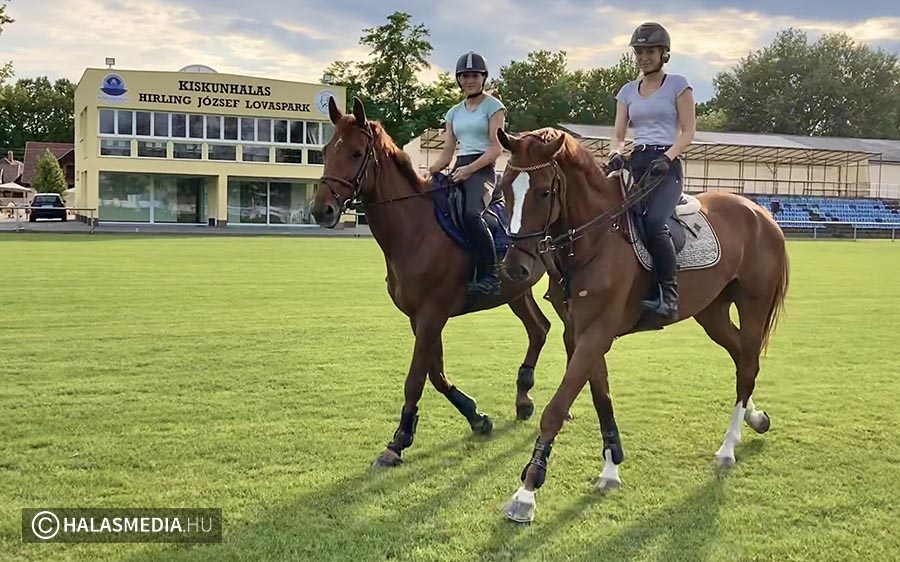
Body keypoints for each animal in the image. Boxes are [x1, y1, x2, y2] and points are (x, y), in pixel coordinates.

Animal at [306, 96, 568, 464]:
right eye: (327, 150)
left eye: (357, 153)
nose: (322, 210)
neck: (416, 228)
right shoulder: (420, 317)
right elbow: (435, 372)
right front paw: (476, 416)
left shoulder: (433, 313)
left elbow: (416, 377)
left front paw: (399, 440)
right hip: (517, 289)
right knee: (539, 329)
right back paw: (523, 398)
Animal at [500, 127, 788, 520]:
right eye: (503, 188)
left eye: (544, 191)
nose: (515, 268)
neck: (597, 238)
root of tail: (762, 213)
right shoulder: (578, 332)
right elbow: (601, 397)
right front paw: (611, 468)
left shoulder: (597, 332)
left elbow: (556, 409)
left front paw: (527, 491)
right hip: (712, 312)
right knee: (743, 356)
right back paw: (754, 420)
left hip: (753, 305)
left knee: (747, 367)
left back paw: (728, 448)